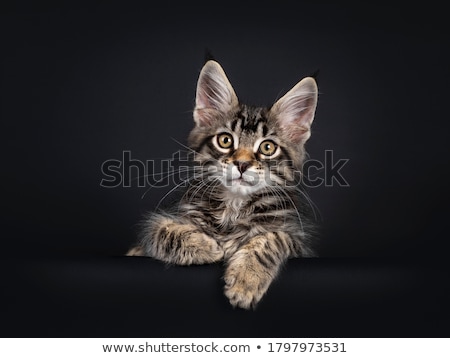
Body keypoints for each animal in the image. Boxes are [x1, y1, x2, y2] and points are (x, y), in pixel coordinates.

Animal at [125, 60, 316, 310]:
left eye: (267, 147)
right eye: (225, 140)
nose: (242, 164)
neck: (233, 206)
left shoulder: (297, 242)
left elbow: (272, 239)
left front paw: (246, 279)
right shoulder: (159, 227)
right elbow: (161, 230)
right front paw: (207, 247)